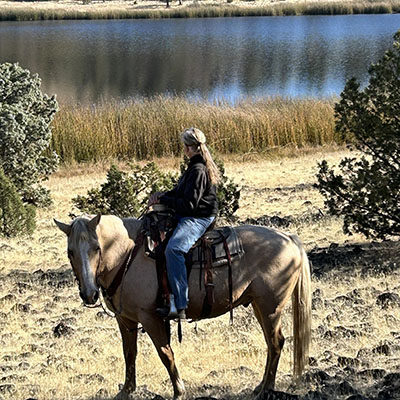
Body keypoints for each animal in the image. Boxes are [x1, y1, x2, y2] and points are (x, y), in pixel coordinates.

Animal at [54, 214, 312, 398]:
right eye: (70, 252)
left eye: (97, 248)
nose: (89, 294)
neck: (126, 256)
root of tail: (289, 239)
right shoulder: (125, 319)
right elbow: (129, 353)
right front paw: (127, 391)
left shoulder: (150, 318)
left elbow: (165, 354)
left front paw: (179, 391)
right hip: (259, 306)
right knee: (271, 343)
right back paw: (261, 386)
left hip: (270, 308)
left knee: (276, 343)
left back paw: (266, 389)